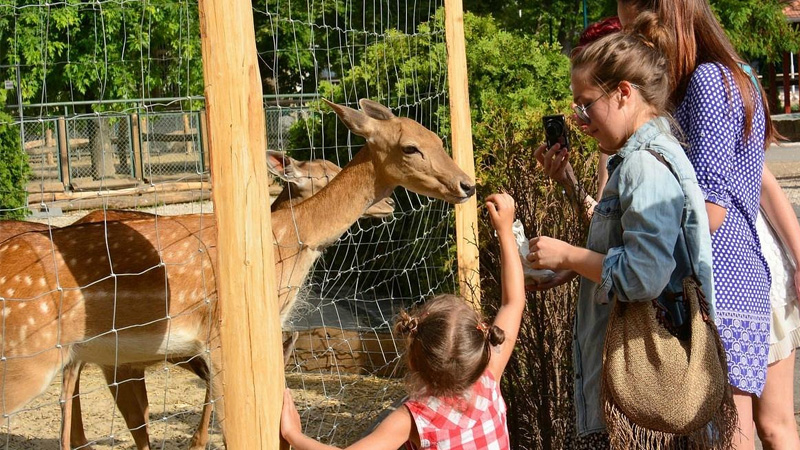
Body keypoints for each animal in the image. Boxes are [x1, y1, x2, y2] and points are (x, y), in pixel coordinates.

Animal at [0, 96, 472, 448]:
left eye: (437, 137)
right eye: (410, 147)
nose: (467, 184)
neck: (281, 245)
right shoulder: (220, 336)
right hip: (28, 358)